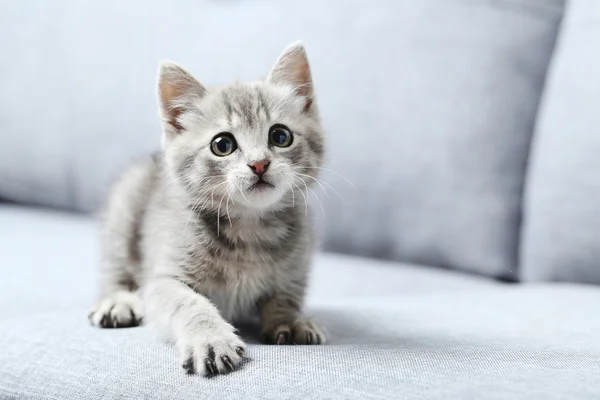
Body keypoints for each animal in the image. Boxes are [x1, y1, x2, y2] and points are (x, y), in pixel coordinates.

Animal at [86, 41, 326, 376]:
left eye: (280, 136)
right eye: (222, 144)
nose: (259, 164)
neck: (249, 228)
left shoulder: (294, 271)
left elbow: (285, 299)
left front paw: (291, 320)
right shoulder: (164, 279)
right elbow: (188, 303)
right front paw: (211, 339)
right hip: (124, 207)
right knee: (117, 272)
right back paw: (116, 301)